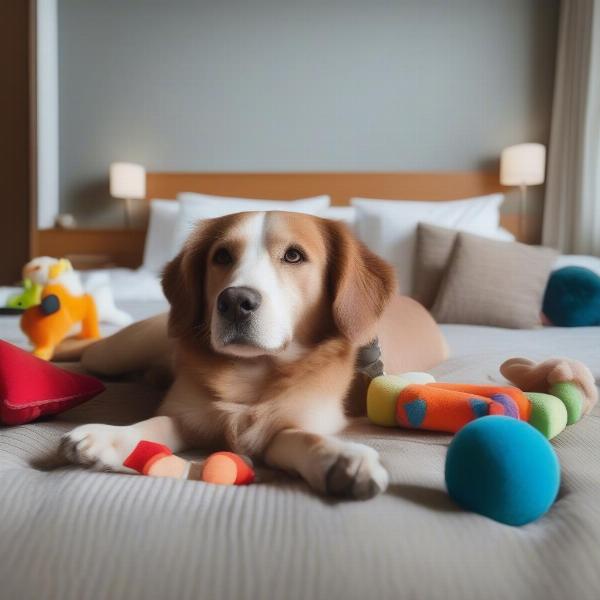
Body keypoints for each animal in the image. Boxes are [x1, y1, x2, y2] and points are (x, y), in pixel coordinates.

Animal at [61, 211, 398, 496]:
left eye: (293, 255)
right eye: (222, 256)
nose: (235, 301)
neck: (252, 372)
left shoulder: (296, 425)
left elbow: (301, 436)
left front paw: (340, 457)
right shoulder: (188, 416)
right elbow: (153, 424)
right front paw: (110, 438)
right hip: (112, 354)